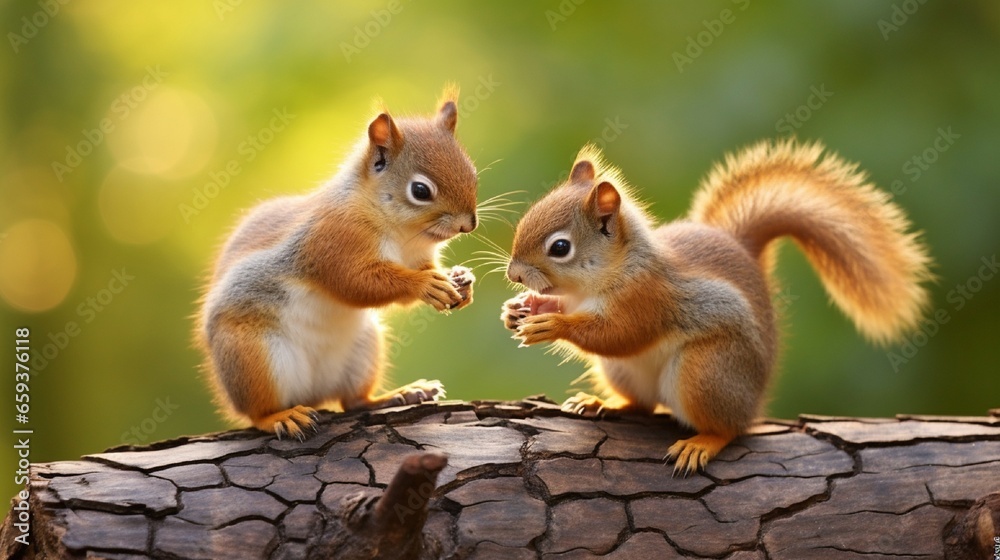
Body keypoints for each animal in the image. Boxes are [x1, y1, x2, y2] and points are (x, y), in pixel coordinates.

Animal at [196, 89, 479, 439]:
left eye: (472, 173)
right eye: (420, 190)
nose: (469, 225)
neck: (401, 234)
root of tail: (312, 395)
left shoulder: (417, 257)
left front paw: (461, 281)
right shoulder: (332, 241)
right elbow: (356, 283)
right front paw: (425, 284)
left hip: (363, 350)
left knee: (354, 401)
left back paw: (400, 394)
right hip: (253, 357)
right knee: (258, 412)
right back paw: (281, 417)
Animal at [502, 140, 932, 475]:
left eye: (560, 247)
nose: (514, 274)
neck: (596, 282)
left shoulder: (647, 298)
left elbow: (619, 334)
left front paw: (551, 325)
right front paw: (520, 308)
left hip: (706, 372)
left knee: (732, 427)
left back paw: (703, 442)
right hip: (624, 373)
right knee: (641, 404)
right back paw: (602, 402)